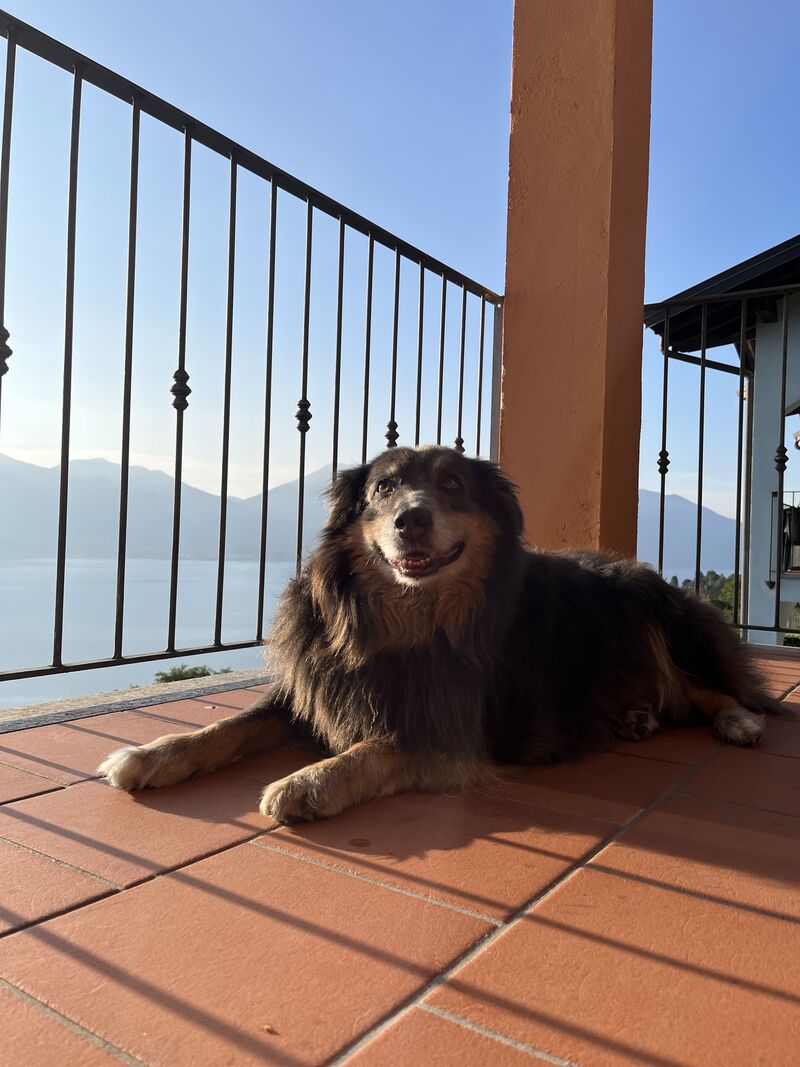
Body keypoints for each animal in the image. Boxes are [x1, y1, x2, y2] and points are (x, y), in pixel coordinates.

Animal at [99, 445, 775, 822]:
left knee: (706, 686)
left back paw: (737, 719)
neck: (405, 622)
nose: (411, 519)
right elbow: (229, 726)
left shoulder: (460, 732)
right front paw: (152, 754)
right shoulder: (316, 686)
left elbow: (381, 746)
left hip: (655, 613)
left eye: (452, 485)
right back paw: (635, 717)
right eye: (383, 487)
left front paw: (309, 780)